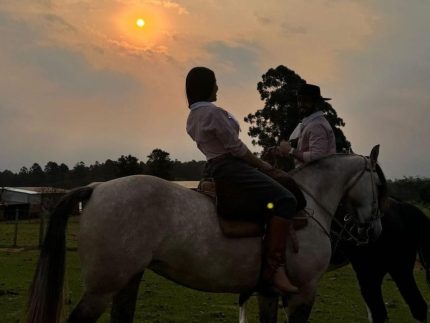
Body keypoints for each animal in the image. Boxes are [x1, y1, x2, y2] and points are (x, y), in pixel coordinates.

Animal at [24, 147, 382, 323]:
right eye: (379, 182)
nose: (373, 229)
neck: (310, 206)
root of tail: (97, 188)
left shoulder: (268, 293)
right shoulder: (302, 293)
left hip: (127, 279)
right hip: (103, 286)